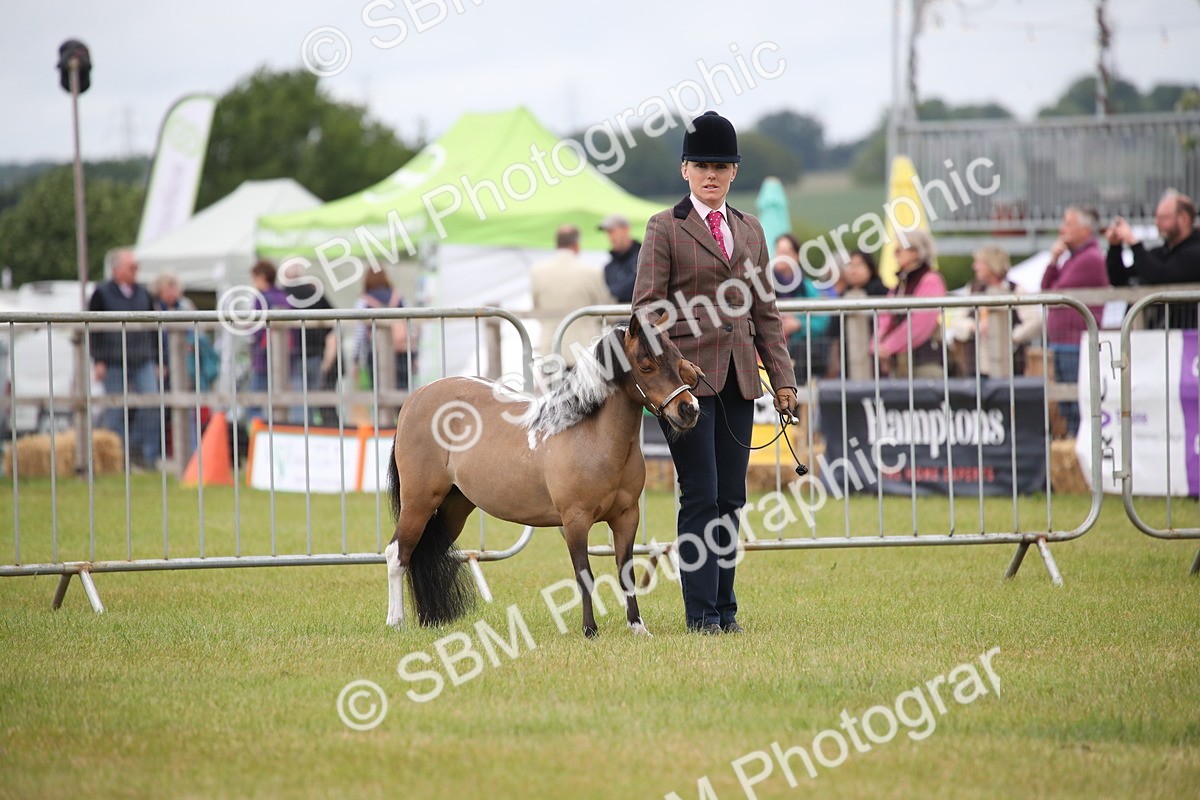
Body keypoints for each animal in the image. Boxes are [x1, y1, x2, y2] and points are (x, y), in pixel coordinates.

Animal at [383, 312, 702, 637]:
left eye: (678, 360)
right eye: (646, 365)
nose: (688, 409)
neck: (588, 434)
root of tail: (416, 398)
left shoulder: (627, 516)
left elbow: (626, 572)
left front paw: (637, 627)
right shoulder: (575, 520)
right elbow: (584, 574)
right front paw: (590, 630)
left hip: (455, 507)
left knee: (430, 552)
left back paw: (430, 618)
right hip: (419, 502)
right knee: (397, 553)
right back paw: (396, 622)